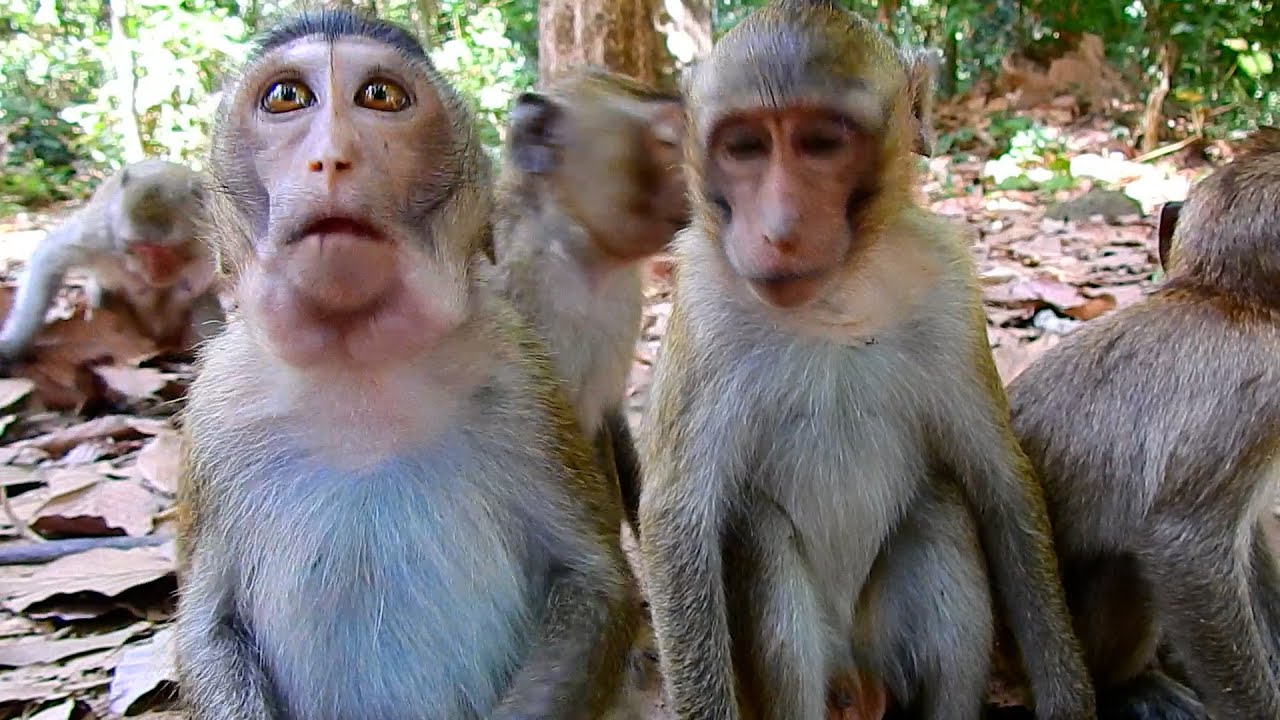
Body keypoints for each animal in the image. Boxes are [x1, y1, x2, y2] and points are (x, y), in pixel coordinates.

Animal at [0, 159, 224, 360]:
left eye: (166, 250)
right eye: (140, 248)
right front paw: (13, 345)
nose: (155, 273)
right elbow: (50, 257)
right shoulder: (102, 235)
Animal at [172, 11, 638, 720]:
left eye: (380, 97)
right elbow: (206, 626)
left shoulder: (521, 375)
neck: (357, 361)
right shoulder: (215, 410)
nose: (332, 156)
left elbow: (594, 582)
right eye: (286, 97)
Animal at [635, 3, 1096, 719]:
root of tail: (856, 671)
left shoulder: (949, 287)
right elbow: (677, 523)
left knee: (940, 507)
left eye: (821, 143)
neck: (835, 300)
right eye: (745, 148)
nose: (780, 228)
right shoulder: (703, 305)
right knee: (764, 544)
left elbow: (1002, 485)